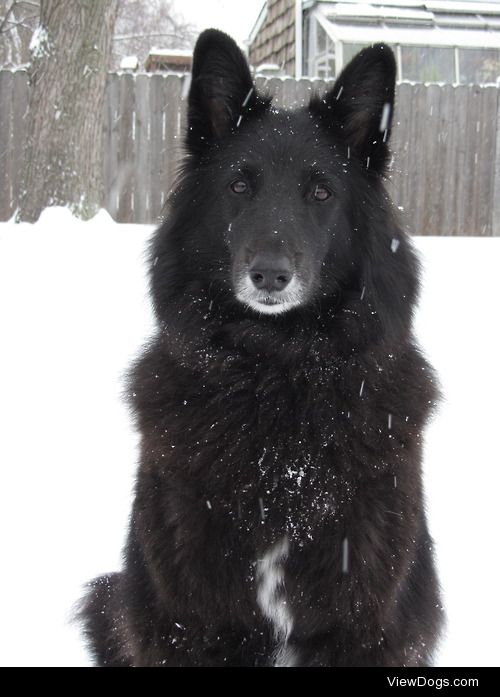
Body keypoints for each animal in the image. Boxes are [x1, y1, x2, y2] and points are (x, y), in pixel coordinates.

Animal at [81, 29, 442, 668]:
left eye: (321, 191)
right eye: (239, 186)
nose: (270, 275)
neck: (276, 378)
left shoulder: (360, 625)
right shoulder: (192, 622)